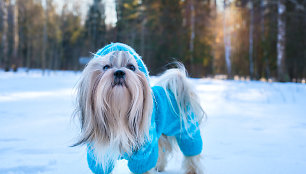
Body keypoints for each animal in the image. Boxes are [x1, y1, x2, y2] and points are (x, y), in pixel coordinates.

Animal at [73, 42, 204, 174]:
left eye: (131, 67)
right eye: (106, 67)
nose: (119, 72)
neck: (118, 112)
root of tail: (173, 91)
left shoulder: (144, 153)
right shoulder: (99, 155)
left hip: (187, 131)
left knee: (192, 153)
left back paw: (192, 170)